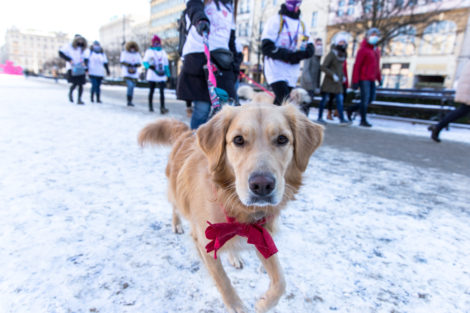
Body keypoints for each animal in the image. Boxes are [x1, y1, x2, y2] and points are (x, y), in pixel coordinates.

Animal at [138, 101, 324, 310]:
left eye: (282, 139)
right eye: (238, 140)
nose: (262, 185)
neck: (232, 203)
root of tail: (188, 133)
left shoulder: (260, 234)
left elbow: (281, 281)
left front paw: (264, 303)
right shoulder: (204, 243)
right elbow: (223, 281)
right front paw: (237, 306)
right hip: (175, 191)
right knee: (175, 206)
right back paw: (176, 224)